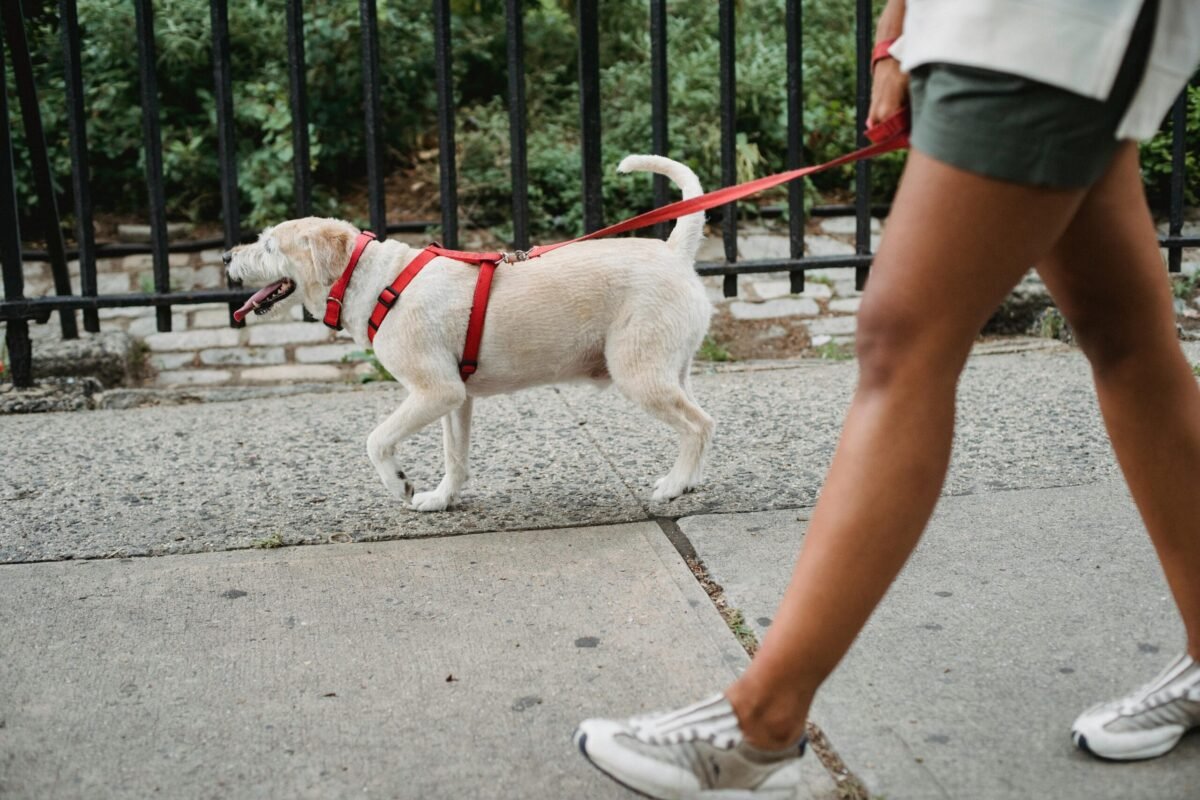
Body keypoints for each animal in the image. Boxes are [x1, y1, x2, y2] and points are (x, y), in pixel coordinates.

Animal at [225, 153, 710, 510]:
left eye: (270, 246)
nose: (227, 257)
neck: (377, 279)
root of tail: (674, 252)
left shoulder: (435, 391)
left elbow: (376, 440)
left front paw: (398, 484)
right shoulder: (455, 400)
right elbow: (454, 456)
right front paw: (441, 499)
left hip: (640, 373)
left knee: (699, 425)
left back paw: (673, 486)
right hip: (672, 370)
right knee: (700, 423)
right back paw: (688, 481)